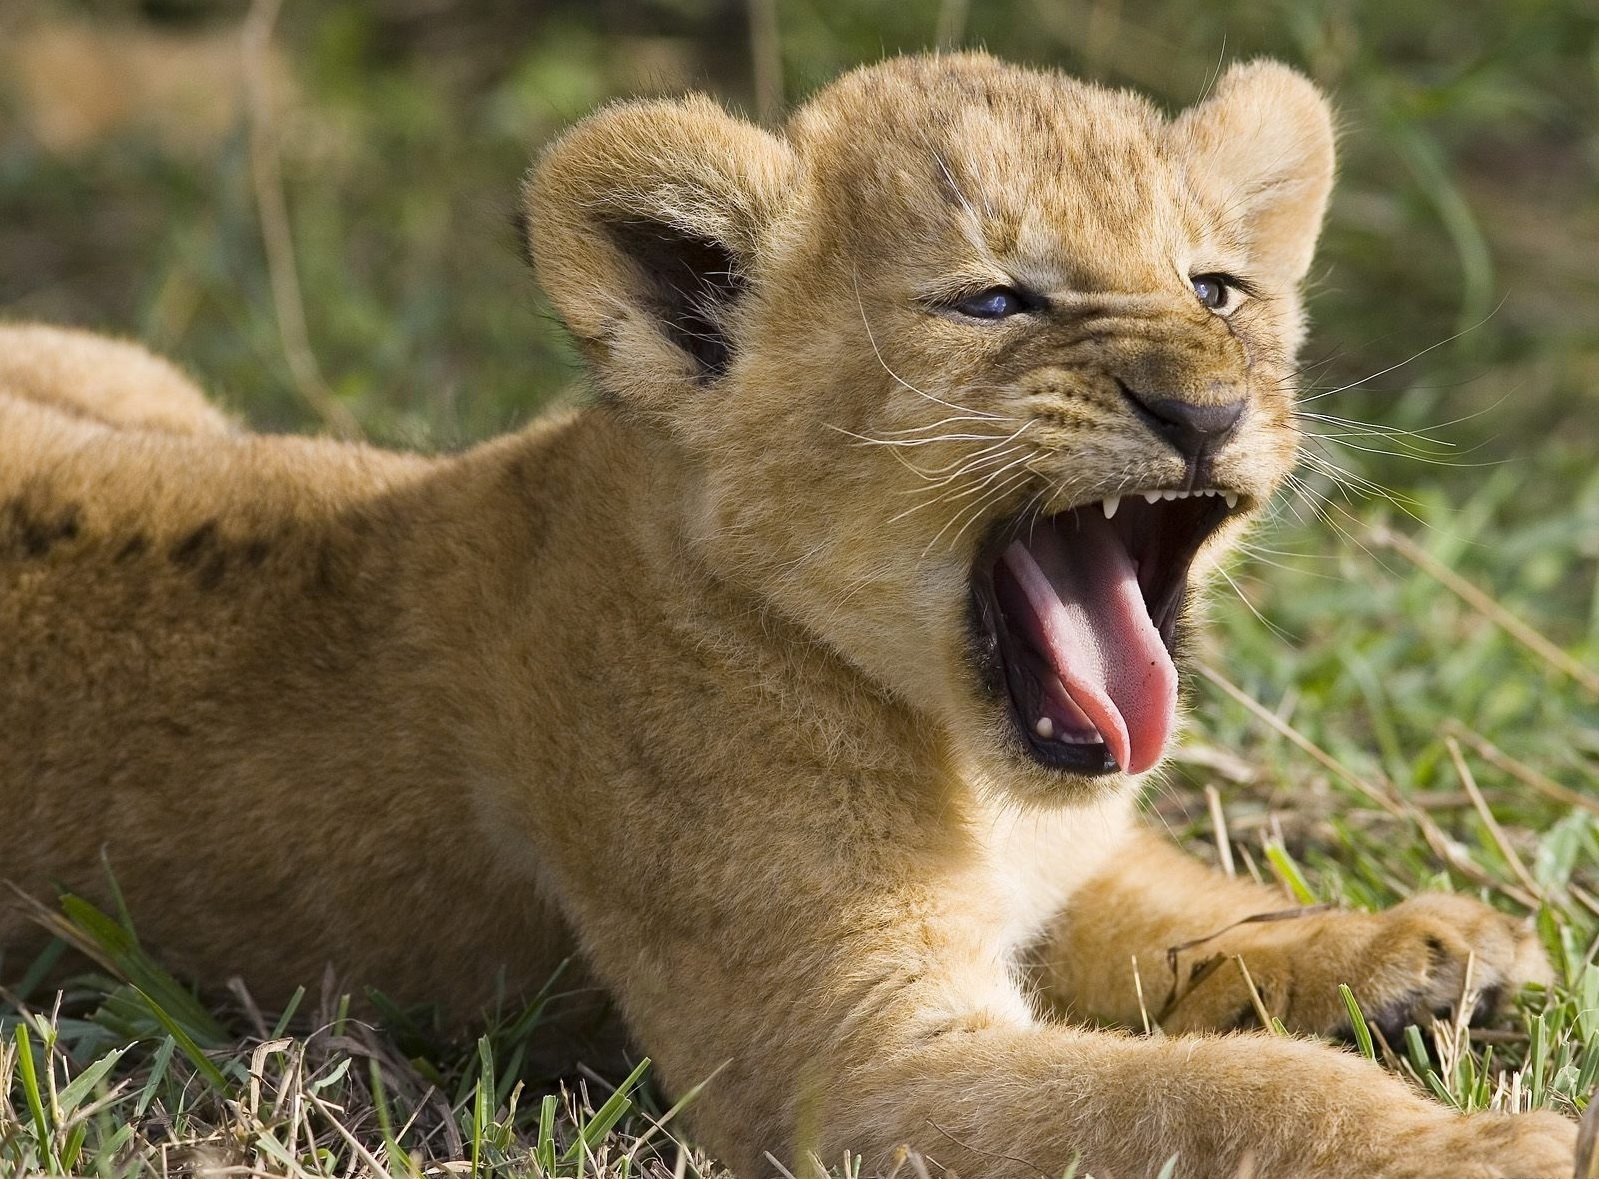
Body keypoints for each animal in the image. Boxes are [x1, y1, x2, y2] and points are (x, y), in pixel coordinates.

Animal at [0, 54, 1577, 1177]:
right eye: (994, 302)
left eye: (1214, 287)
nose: (1202, 409)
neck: (964, 758)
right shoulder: (843, 1069)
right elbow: (1215, 1098)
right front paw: (1485, 1143)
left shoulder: (1064, 870)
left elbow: (1196, 908)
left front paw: (1419, 948)